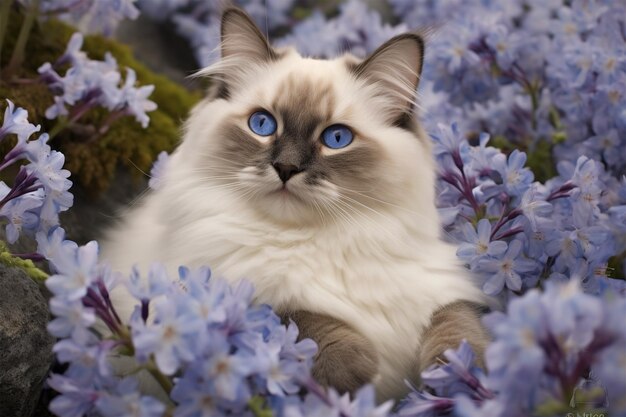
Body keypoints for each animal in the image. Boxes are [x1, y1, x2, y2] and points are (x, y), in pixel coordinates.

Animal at [102, 7, 490, 400]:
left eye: (337, 138)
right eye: (262, 124)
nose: (286, 168)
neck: (317, 240)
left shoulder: (442, 290)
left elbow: (457, 326)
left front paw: (460, 374)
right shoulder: (210, 292)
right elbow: (292, 316)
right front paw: (355, 367)